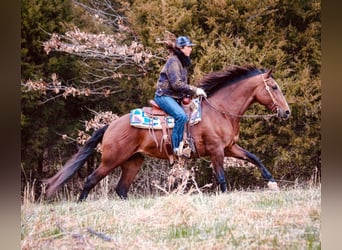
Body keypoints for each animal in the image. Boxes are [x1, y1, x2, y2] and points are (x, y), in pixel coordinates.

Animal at [44, 65, 292, 201]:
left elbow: (254, 158)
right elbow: (222, 177)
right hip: (111, 160)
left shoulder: (230, 147)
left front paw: (272, 183)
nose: (287, 112)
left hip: (133, 161)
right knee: (90, 180)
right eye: (275, 87)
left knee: (121, 189)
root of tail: (111, 126)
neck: (220, 111)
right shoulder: (216, 151)